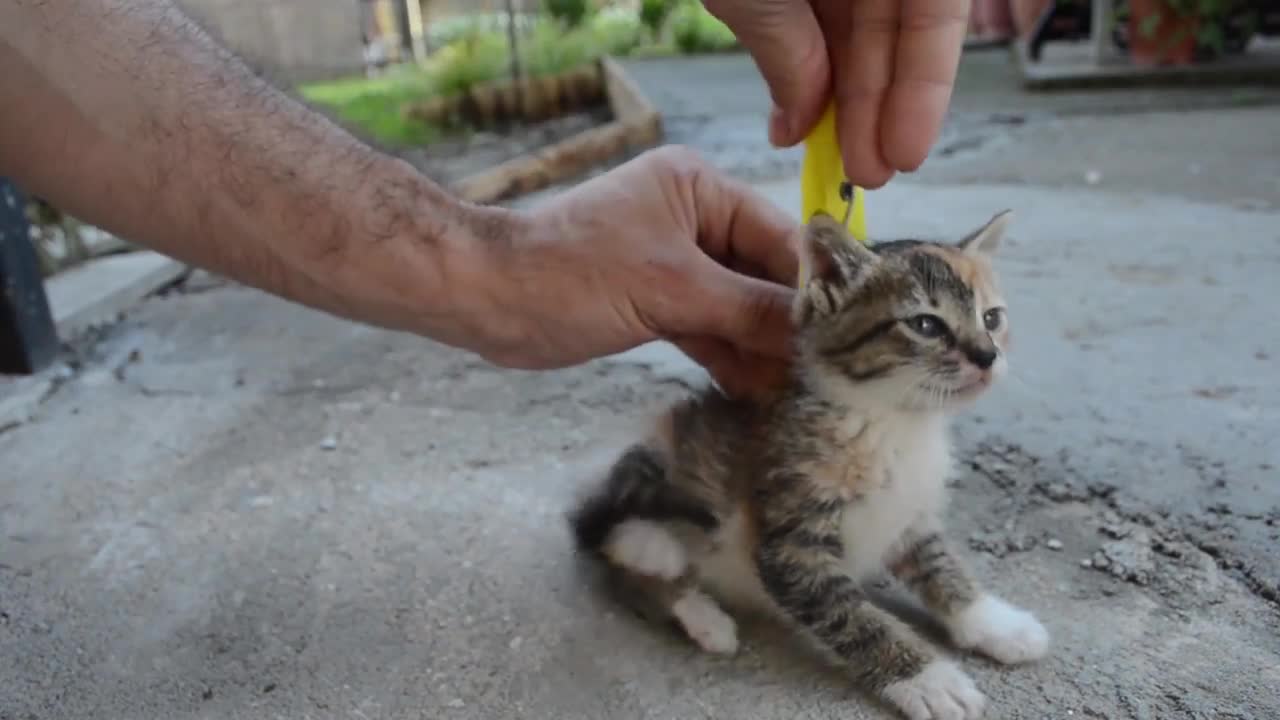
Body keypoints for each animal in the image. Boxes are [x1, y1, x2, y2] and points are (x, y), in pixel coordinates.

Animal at [570, 208, 1049, 717]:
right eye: (925, 325)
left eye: (992, 318)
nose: (988, 355)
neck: (892, 422)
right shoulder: (791, 543)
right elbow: (853, 617)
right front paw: (927, 678)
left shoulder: (912, 516)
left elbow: (942, 565)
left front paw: (992, 621)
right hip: (672, 458)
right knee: (608, 541)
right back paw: (680, 587)